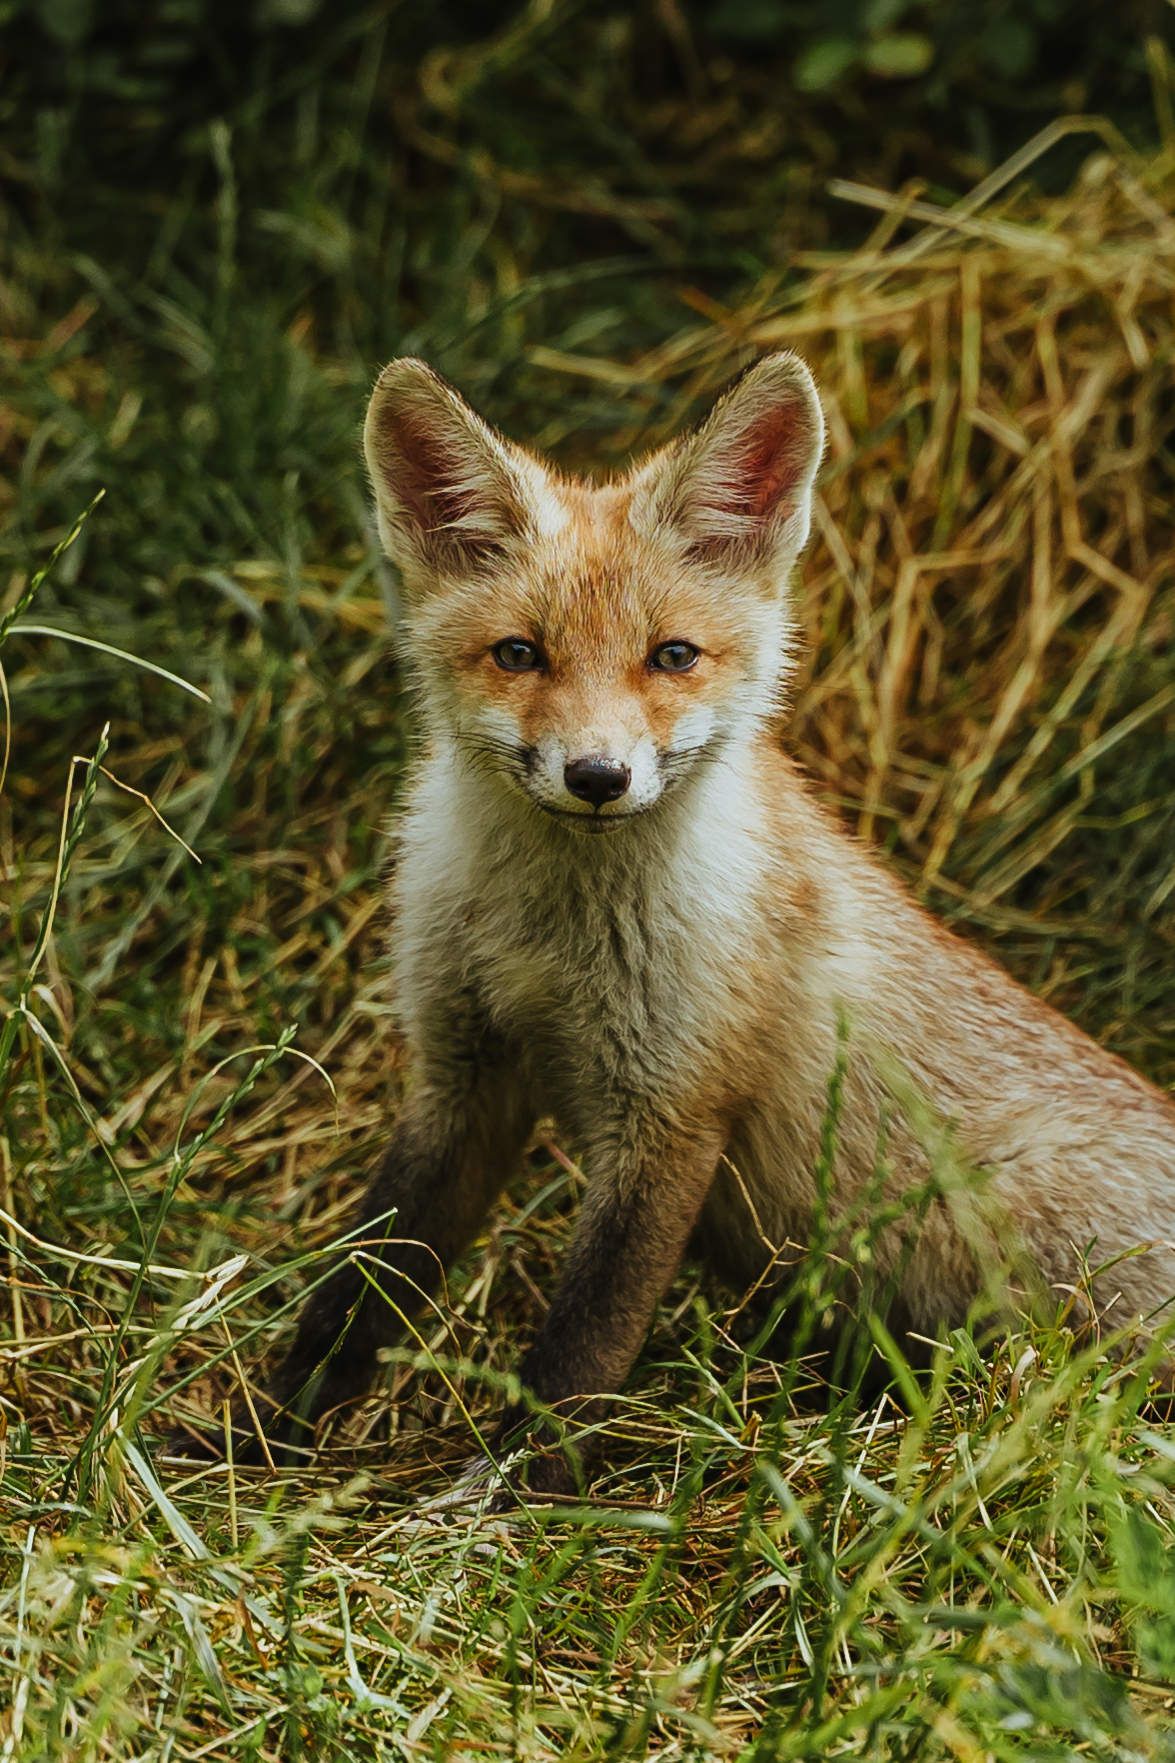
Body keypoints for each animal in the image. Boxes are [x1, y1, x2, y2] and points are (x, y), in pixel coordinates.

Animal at [175, 352, 1175, 1493]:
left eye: (671, 655)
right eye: (519, 653)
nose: (597, 776)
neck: (547, 941)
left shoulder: (671, 1114)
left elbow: (580, 1346)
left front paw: (510, 1505)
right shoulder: (462, 1076)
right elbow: (355, 1290)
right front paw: (255, 1440)